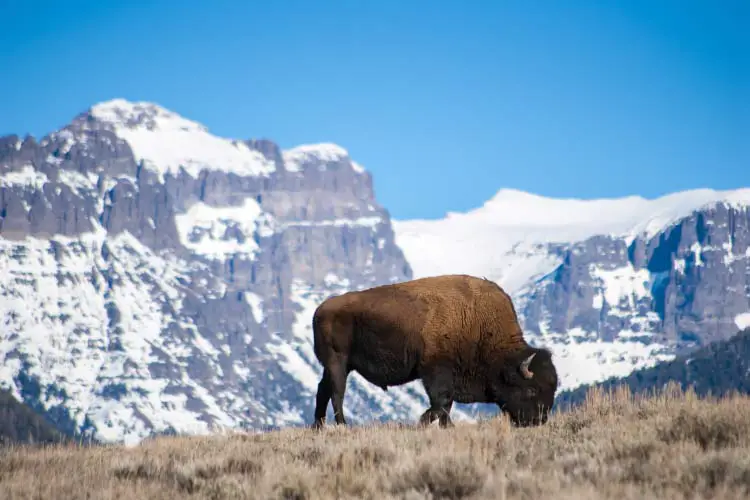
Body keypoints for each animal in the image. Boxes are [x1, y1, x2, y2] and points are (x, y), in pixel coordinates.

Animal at [310, 274, 560, 430]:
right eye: (531, 390)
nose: (539, 420)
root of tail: (320, 309)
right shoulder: (436, 372)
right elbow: (441, 402)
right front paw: (425, 422)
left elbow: (445, 405)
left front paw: (443, 426)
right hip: (338, 362)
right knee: (337, 393)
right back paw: (342, 425)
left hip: (336, 366)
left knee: (323, 390)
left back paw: (318, 426)